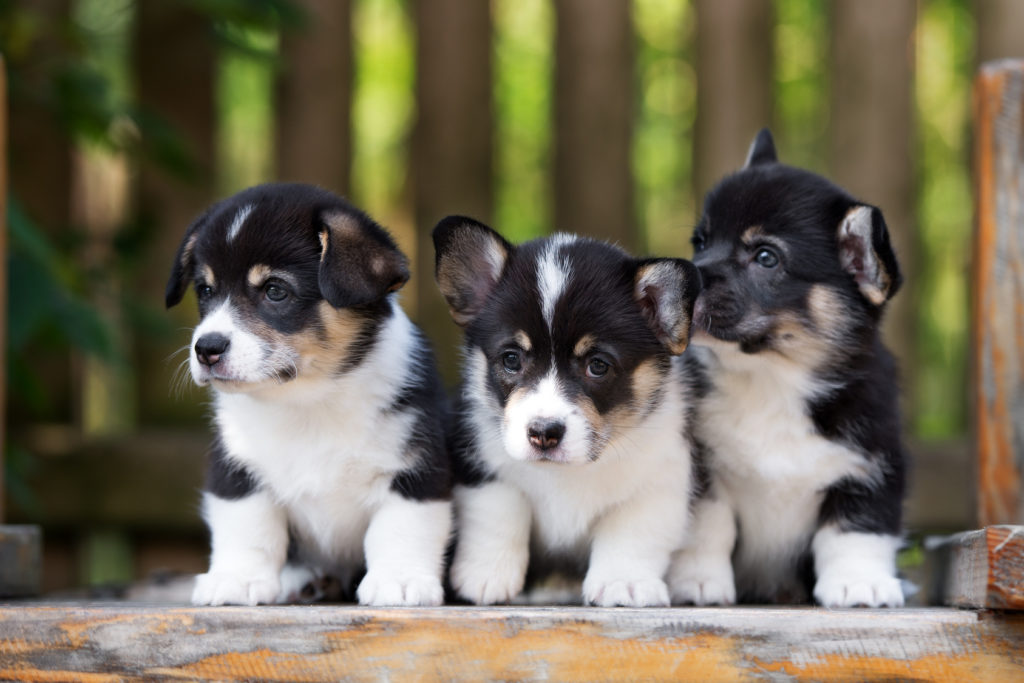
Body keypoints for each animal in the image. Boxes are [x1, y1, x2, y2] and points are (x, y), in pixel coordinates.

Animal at [165, 183, 450, 610]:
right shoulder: (236, 471)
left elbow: (401, 529)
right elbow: (247, 528)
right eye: (206, 290)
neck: (307, 400)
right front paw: (236, 580)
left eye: (275, 290)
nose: (206, 349)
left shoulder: (417, 470)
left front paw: (399, 581)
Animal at [432, 216, 704, 606]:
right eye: (511, 359)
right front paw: (486, 576)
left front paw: (623, 583)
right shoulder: (482, 466)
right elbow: (500, 509)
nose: (543, 433)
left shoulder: (658, 484)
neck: (565, 472)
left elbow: (632, 534)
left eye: (598, 366)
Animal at [671, 131, 905, 606]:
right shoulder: (704, 474)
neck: (771, 380)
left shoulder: (872, 468)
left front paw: (860, 583)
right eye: (701, 242)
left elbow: (855, 531)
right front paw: (699, 581)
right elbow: (708, 529)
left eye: (766, 257)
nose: (687, 277)